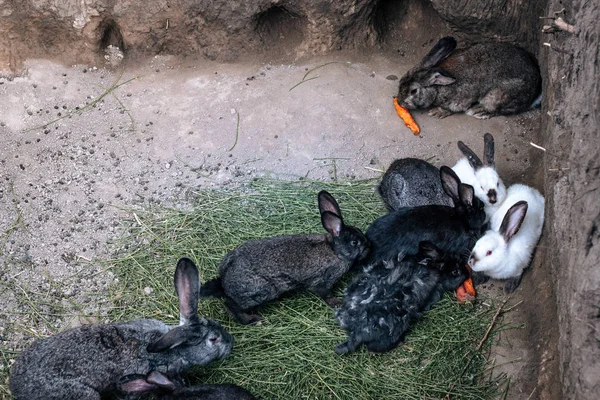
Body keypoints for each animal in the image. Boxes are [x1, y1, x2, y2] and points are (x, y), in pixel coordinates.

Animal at [200, 189, 370, 324]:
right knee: (231, 305)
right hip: (261, 291)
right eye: (355, 242)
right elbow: (325, 294)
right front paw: (338, 303)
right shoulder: (322, 281)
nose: (369, 245)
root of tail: (223, 282)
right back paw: (253, 320)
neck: (334, 250)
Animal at [396, 36, 540, 119]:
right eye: (400, 82)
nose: (400, 102)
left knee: (501, 110)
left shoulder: (461, 100)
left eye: (413, 91)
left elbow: (452, 108)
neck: (437, 88)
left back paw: (479, 112)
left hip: (497, 96)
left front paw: (438, 112)